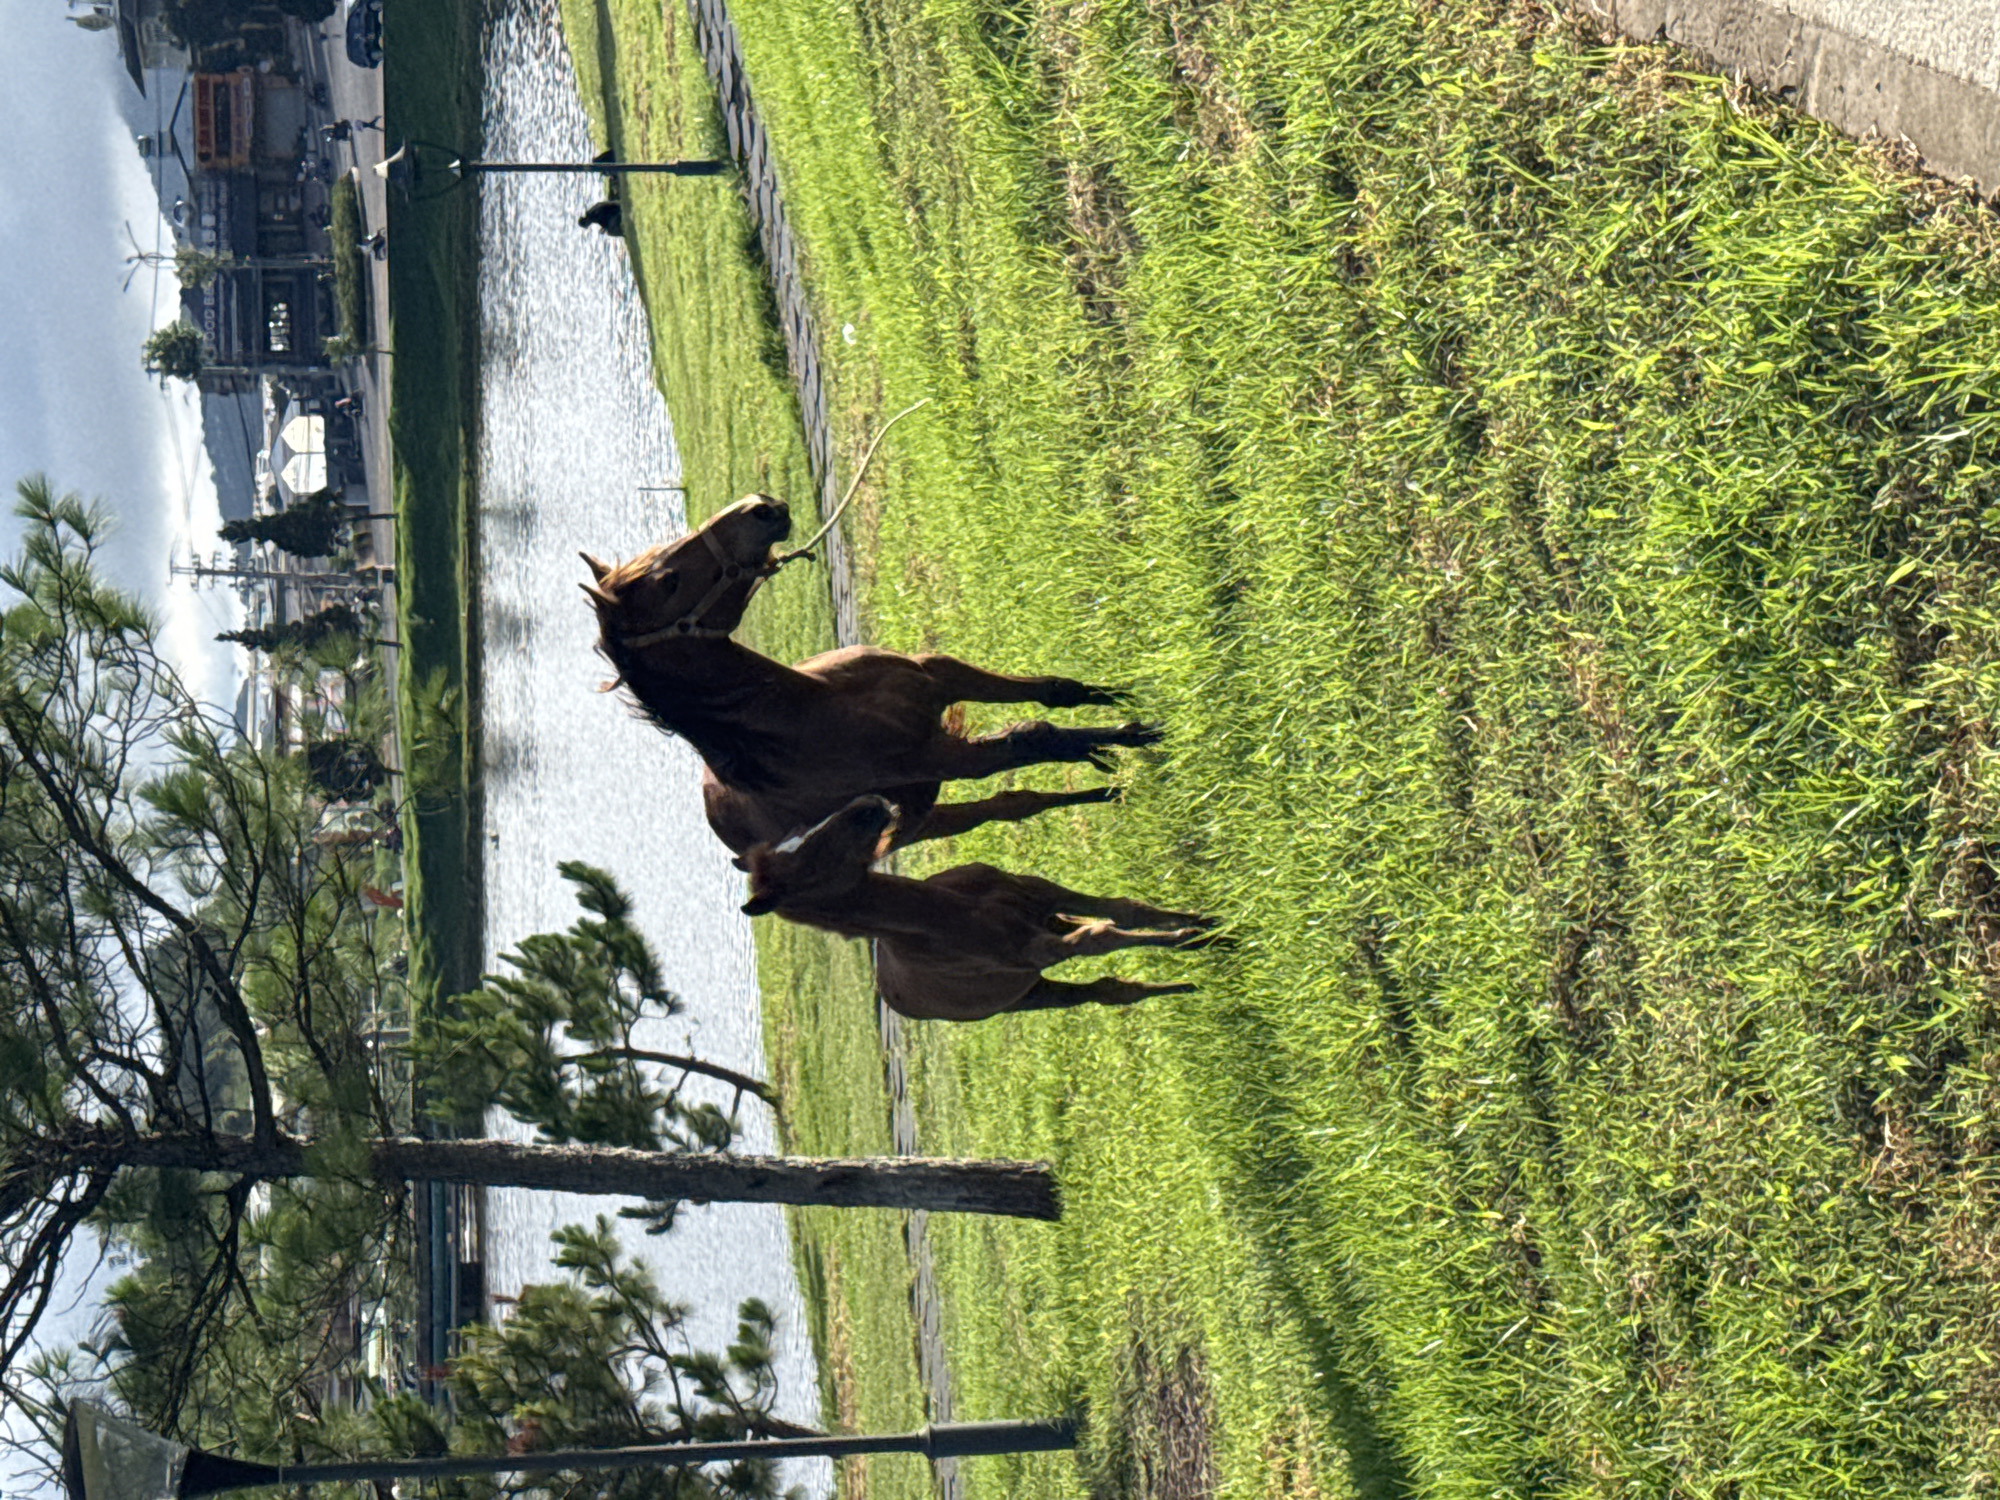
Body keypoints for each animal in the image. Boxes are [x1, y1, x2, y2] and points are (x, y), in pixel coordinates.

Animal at [580, 495, 1157, 856]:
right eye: (669, 581)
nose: (759, 507)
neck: (820, 704)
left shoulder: (938, 676)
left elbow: (1052, 694)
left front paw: (1119, 703)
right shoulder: (949, 757)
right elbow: (1035, 738)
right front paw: (1135, 738)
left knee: (1016, 803)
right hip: (918, 816)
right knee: (1007, 807)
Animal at [737, 795, 1216, 1020]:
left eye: (801, 834)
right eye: (807, 859)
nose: (867, 804)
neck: (953, 914)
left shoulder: (1043, 892)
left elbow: (1124, 908)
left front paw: (1206, 925)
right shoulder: (1044, 950)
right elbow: (1104, 934)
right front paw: (1194, 938)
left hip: (1042, 934)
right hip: (1027, 994)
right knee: (1108, 991)